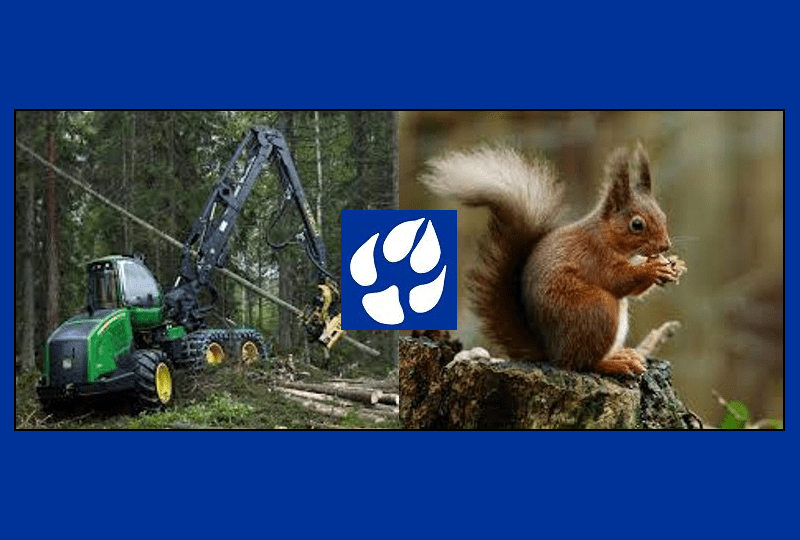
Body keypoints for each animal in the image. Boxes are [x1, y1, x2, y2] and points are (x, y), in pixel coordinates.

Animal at [421, 142, 686, 376]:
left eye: (663, 215)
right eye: (636, 224)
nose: (665, 245)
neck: (607, 236)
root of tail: (551, 352)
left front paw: (675, 265)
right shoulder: (594, 255)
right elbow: (618, 279)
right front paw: (652, 268)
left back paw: (621, 355)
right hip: (597, 310)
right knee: (581, 363)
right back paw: (613, 363)